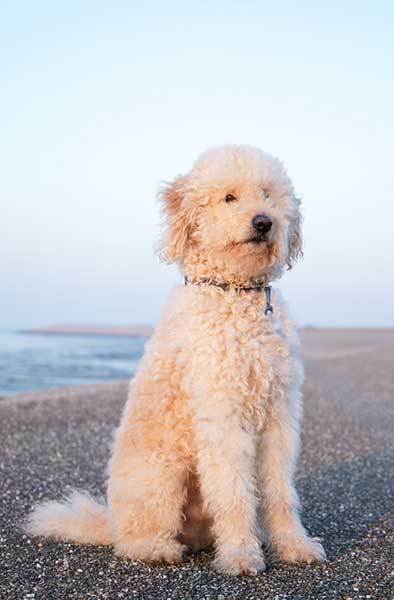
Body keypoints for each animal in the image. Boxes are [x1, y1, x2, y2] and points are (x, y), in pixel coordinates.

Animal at [25, 143, 326, 576]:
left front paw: (294, 545)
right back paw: (157, 548)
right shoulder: (222, 417)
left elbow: (279, 491)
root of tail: (110, 521)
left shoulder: (280, 415)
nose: (264, 222)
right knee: (135, 539)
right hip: (161, 475)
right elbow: (234, 493)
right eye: (228, 197)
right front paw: (241, 554)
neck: (235, 294)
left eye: (268, 194)